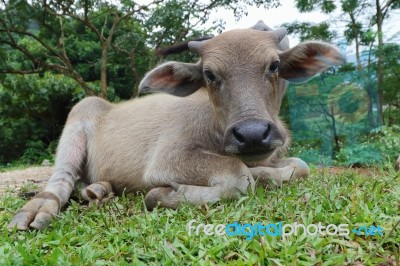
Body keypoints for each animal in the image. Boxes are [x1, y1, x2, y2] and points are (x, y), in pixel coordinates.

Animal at [7, 20, 342, 230]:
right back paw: (40, 209)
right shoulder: (168, 158)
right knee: (61, 180)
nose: (252, 135)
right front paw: (160, 195)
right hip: (80, 116)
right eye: (209, 74)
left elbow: (300, 166)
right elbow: (238, 177)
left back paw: (98, 190)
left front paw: (268, 173)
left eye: (274, 66)